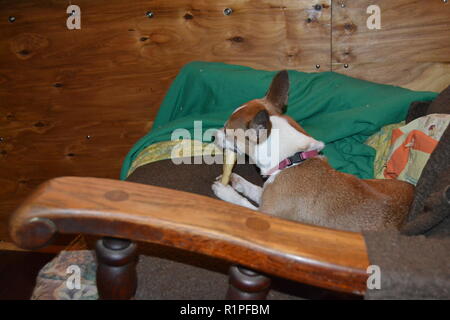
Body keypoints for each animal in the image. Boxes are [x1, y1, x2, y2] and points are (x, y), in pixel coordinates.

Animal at [212, 71, 414, 231]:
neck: (292, 160)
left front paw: (225, 191)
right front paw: (236, 181)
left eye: (226, 131)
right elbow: (255, 189)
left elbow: (243, 205)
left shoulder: (266, 215)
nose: (213, 136)